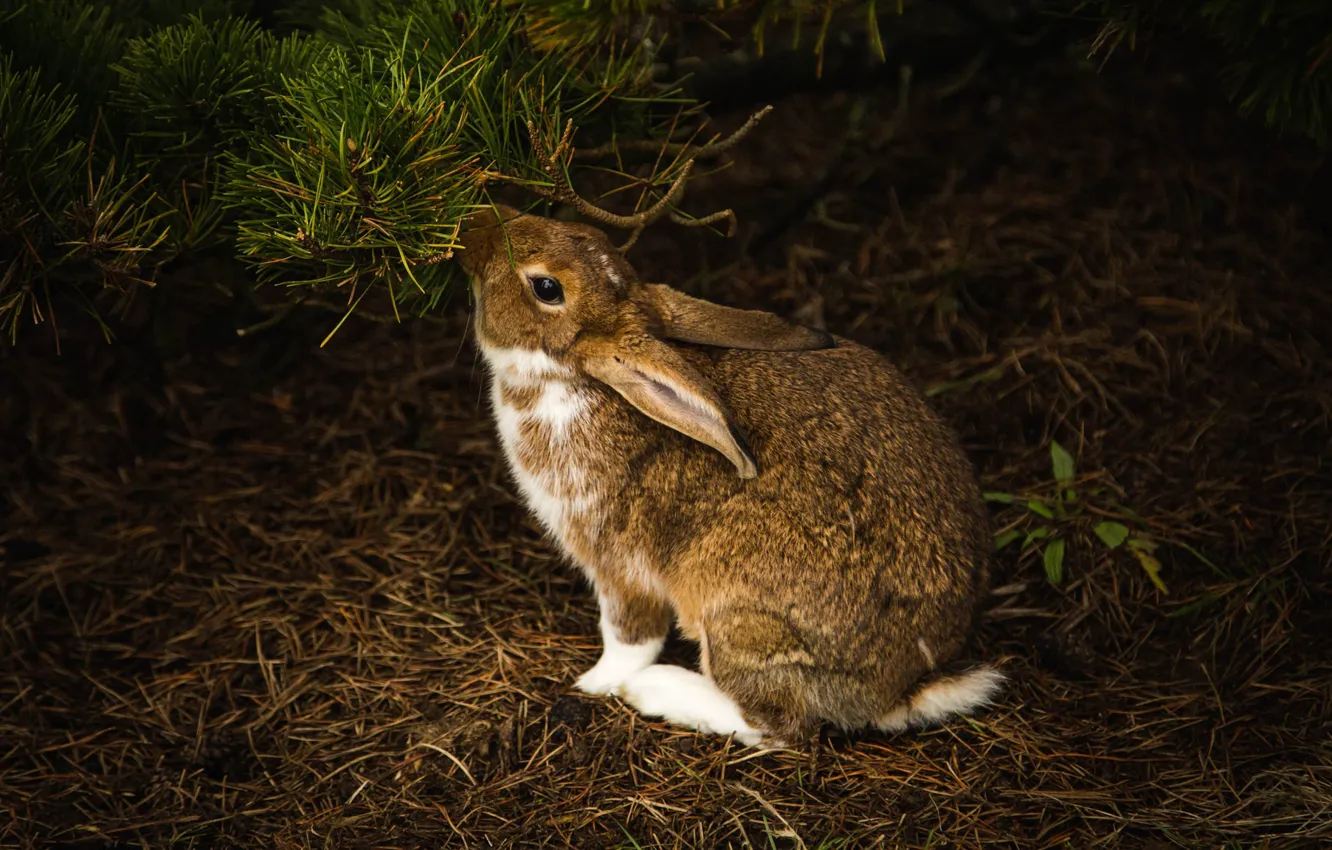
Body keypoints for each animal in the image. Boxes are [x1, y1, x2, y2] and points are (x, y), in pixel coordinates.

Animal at [456, 203, 1004, 747]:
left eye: (546, 288)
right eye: (582, 229)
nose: (479, 225)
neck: (573, 379)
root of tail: (903, 690)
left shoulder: (618, 561)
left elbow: (630, 637)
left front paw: (594, 683)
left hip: (738, 619)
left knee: (778, 724)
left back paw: (659, 691)